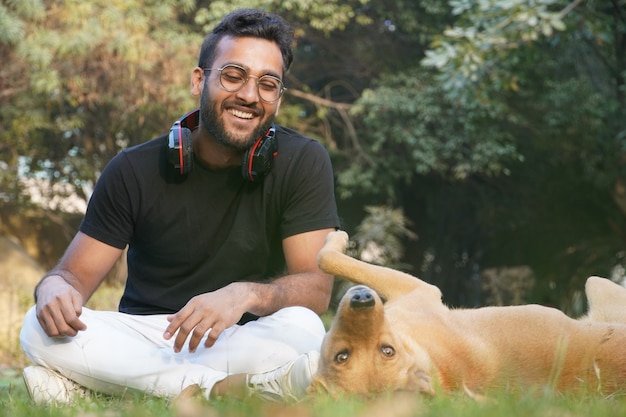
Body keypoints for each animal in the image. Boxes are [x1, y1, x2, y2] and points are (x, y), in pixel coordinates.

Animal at [310, 231, 626, 396]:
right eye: (342, 355)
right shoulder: (419, 292)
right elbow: (326, 257)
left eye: (387, 351)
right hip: (599, 286)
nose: (362, 299)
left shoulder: (420, 291)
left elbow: (327, 257)